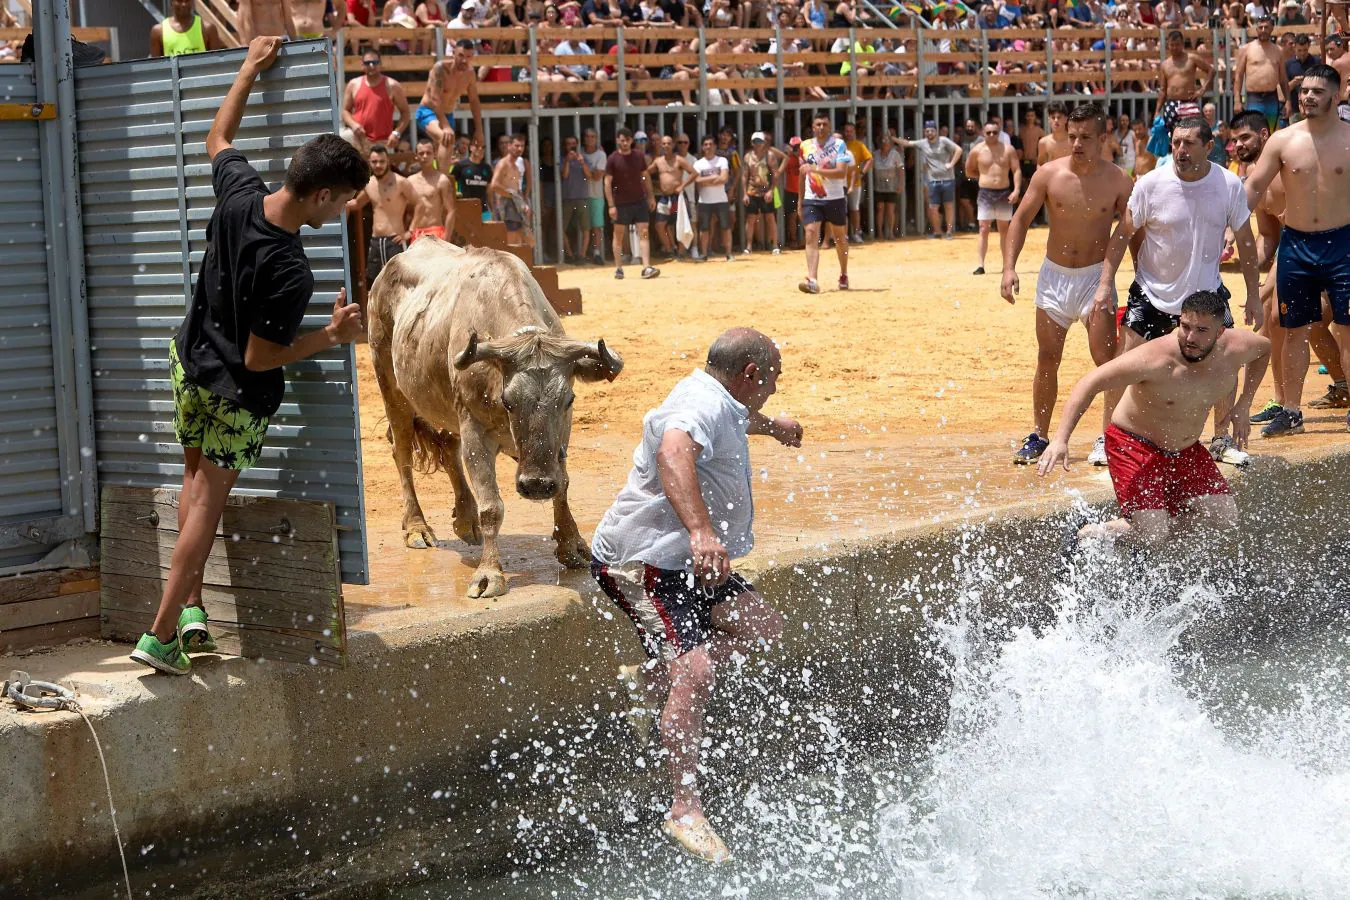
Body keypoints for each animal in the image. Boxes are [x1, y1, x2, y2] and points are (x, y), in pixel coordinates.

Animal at [369, 238, 621, 599]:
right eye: (508, 401)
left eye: (568, 400)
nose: (536, 485)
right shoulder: (475, 430)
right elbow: (492, 504)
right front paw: (489, 574)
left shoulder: (557, 441)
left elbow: (563, 484)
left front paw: (571, 545)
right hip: (391, 387)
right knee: (401, 452)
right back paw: (417, 527)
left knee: (447, 448)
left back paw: (465, 519)